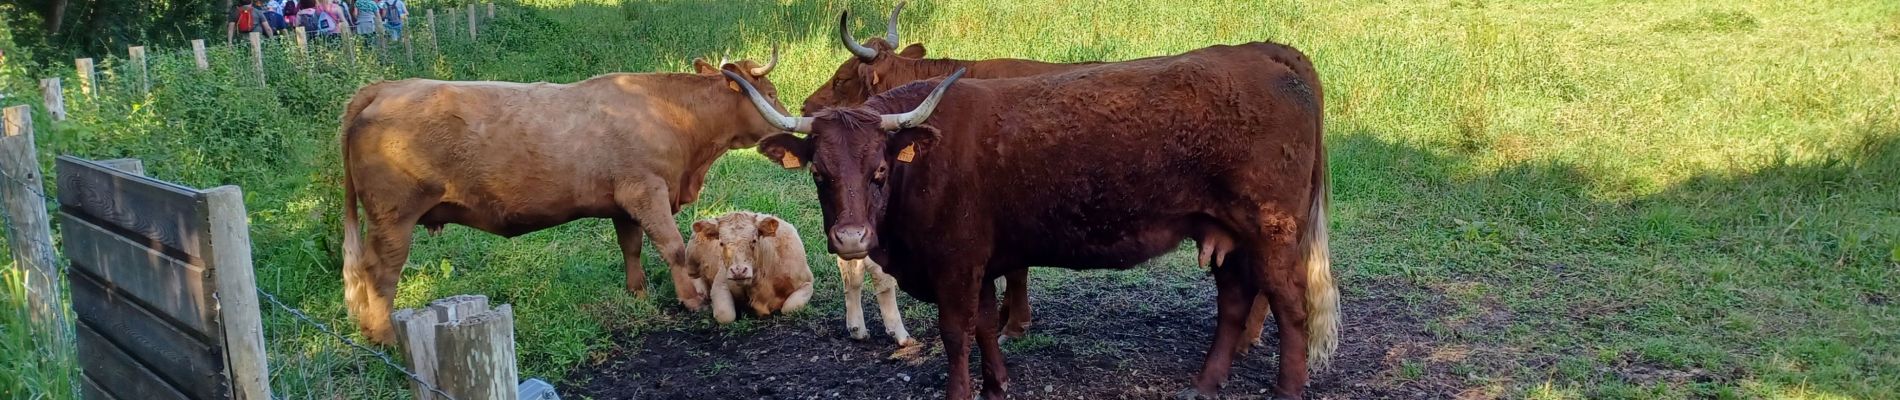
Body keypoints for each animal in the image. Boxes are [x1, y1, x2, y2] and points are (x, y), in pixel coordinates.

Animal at [338, 52, 790, 343]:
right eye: (769, 91)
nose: (792, 125)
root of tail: (385, 88)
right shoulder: (647, 191)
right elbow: (672, 246)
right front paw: (690, 298)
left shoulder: (624, 202)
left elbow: (631, 247)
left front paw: (638, 294)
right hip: (393, 219)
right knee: (379, 273)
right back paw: (385, 338)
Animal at [725, 41, 1337, 400]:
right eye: (819, 173)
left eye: (879, 170)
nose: (851, 238)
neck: (922, 162)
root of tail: (1268, 55)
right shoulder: (984, 260)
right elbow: (986, 324)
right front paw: (998, 382)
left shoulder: (956, 263)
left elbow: (956, 331)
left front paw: (962, 391)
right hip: (1226, 235)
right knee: (1234, 301)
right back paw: (1207, 382)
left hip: (1271, 232)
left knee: (1290, 307)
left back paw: (1288, 388)